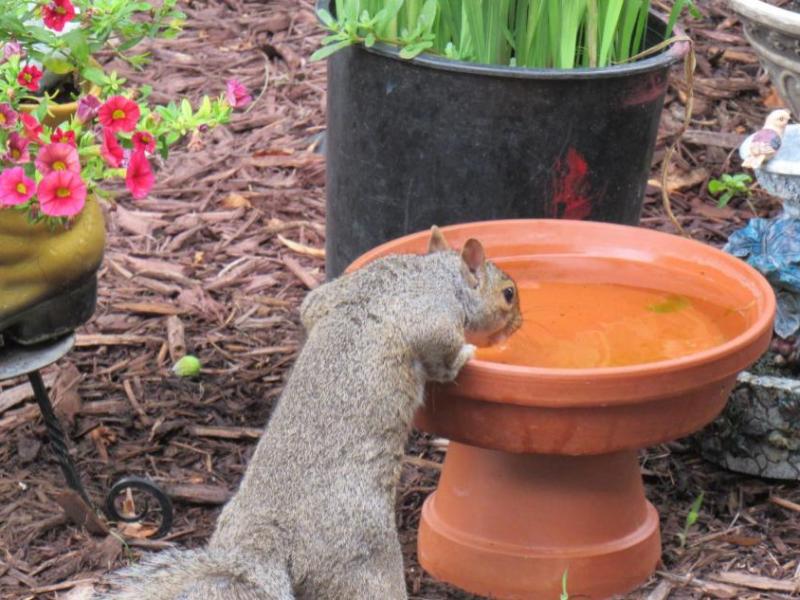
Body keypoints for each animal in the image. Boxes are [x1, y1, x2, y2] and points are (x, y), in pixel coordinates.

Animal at [94, 226, 522, 600]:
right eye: (508, 294)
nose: (519, 325)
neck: (434, 273)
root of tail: (260, 548)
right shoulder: (432, 321)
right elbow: (445, 360)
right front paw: (468, 355)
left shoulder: (327, 297)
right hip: (362, 563)